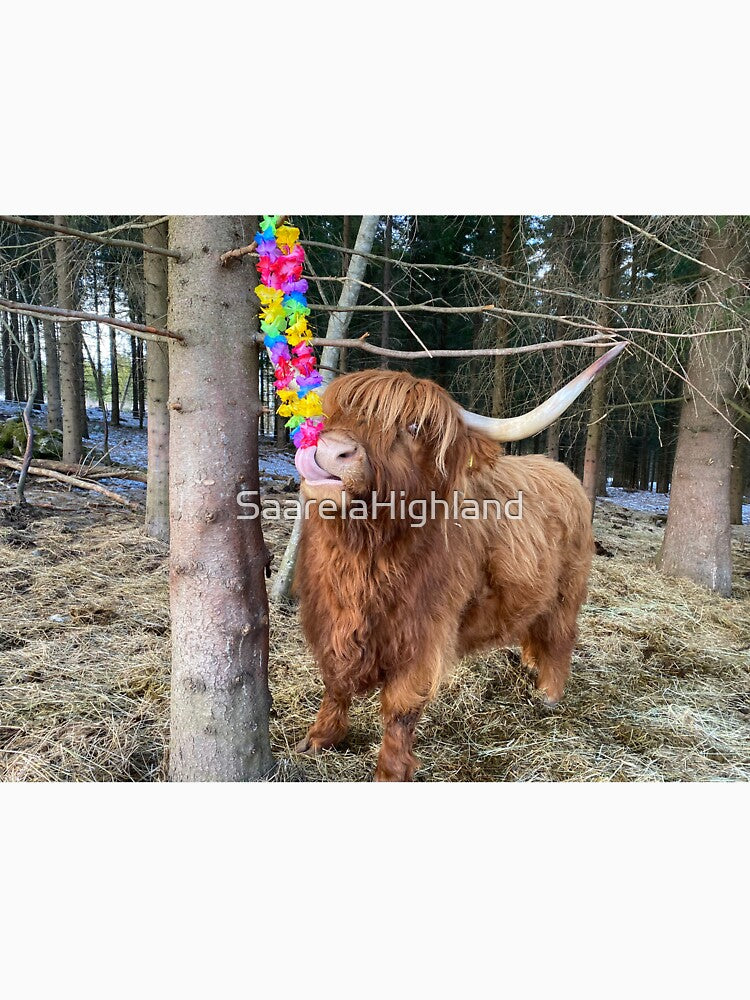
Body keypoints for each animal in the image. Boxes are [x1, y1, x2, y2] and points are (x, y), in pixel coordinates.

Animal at [292, 343, 626, 781]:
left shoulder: (424, 635)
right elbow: (334, 682)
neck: (361, 557)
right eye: (332, 413)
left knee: (561, 635)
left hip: (568, 590)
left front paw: (390, 772)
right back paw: (530, 665)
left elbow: (401, 707)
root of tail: (559, 470)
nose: (332, 451)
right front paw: (318, 738)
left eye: (413, 426)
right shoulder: (327, 616)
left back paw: (548, 694)